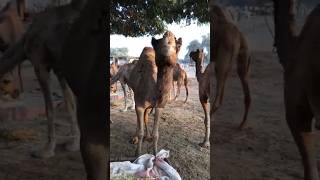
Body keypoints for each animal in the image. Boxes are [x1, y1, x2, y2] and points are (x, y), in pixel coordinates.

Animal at [0, 0, 89, 158]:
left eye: (6, 81)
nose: (16, 92)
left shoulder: (40, 64)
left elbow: (49, 108)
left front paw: (46, 150)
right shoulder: (59, 68)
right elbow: (70, 103)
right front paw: (74, 143)